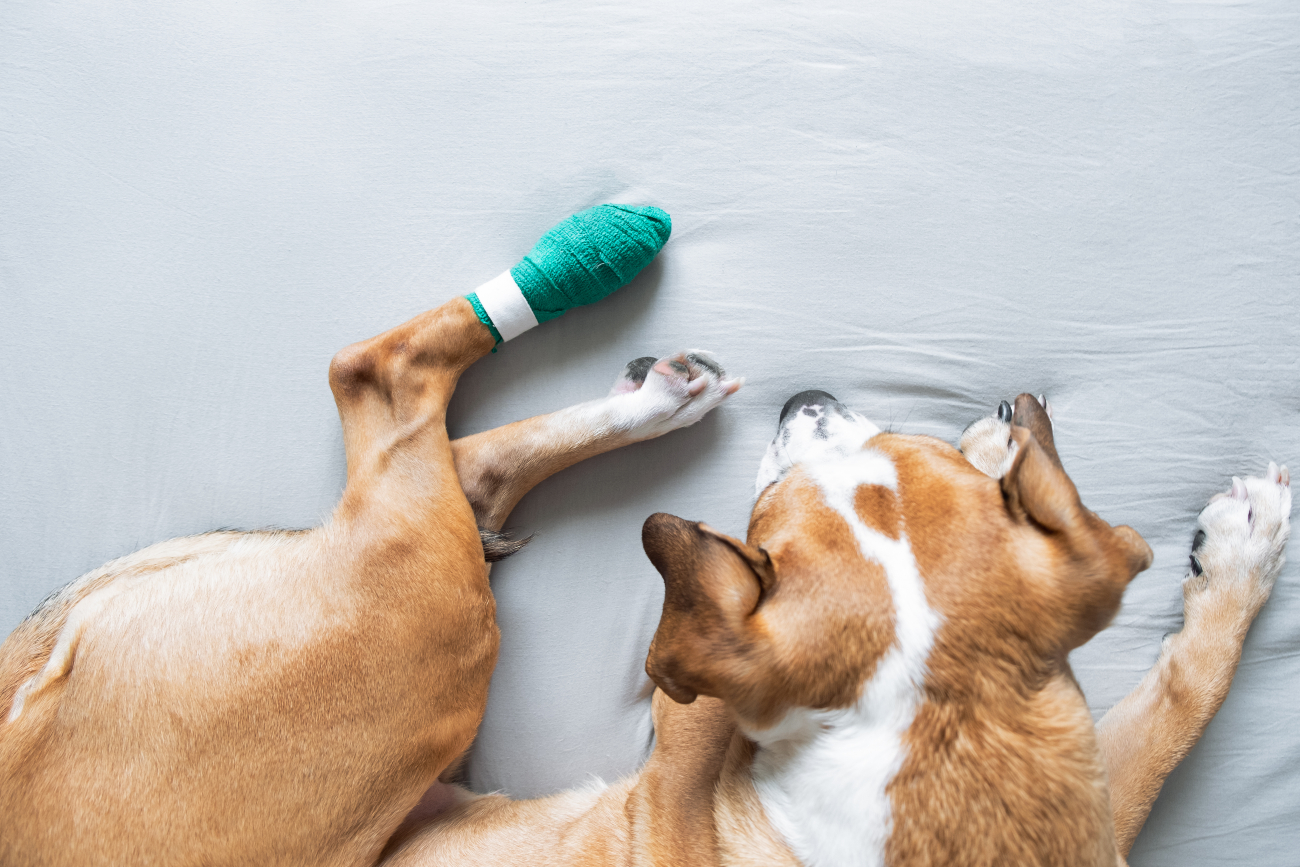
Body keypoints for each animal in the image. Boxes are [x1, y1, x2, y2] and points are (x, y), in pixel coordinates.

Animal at [0, 295, 1289, 863]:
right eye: (890, 443)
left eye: (765, 532)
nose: (810, 399)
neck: (944, 725)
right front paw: (1010, 460)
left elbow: (1175, 704)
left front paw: (1238, 548)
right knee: (414, 422)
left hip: (414, 622)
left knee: (394, 395)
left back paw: (643, 385)